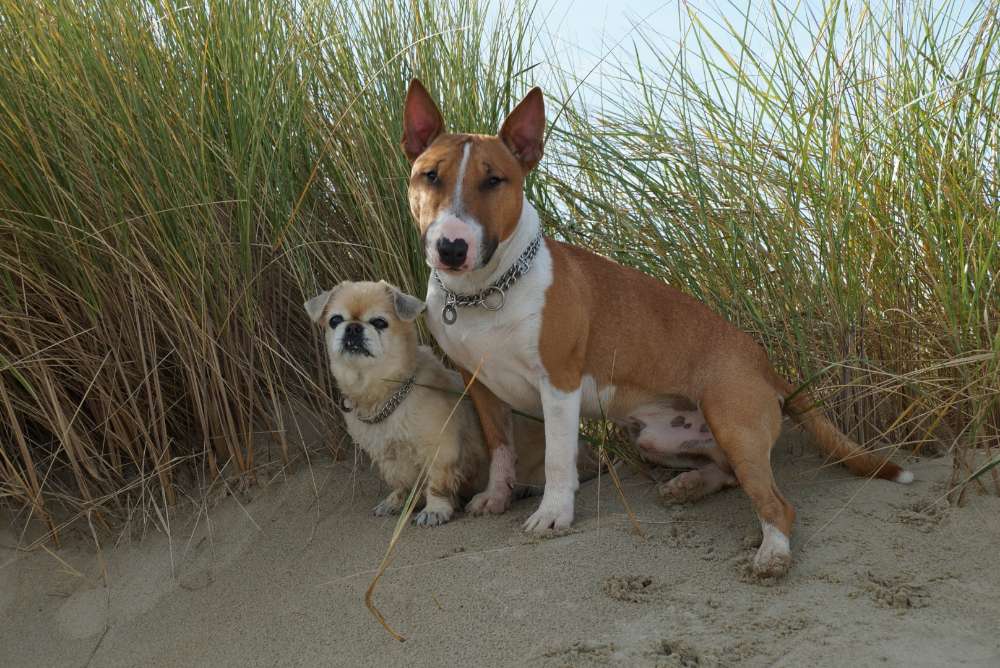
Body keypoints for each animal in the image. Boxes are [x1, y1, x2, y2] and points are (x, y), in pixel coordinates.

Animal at [398, 81, 916, 576]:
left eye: (493, 180)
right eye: (431, 175)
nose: (451, 248)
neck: (487, 290)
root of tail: (767, 365)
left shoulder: (559, 384)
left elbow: (557, 459)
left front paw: (553, 514)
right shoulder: (479, 384)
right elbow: (500, 446)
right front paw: (497, 496)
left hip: (733, 422)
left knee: (776, 503)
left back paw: (771, 554)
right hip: (655, 436)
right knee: (727, 474)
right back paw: (688, 486)